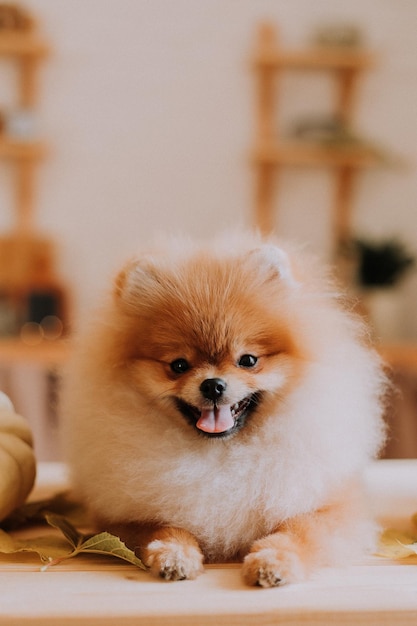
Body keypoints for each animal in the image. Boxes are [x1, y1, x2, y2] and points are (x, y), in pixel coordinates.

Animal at [61, 230, 386, 584]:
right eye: (178, 365)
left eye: (248, 360)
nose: (213, 384)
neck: (221, 456)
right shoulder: (121, 517)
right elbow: (160, 526)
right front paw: (174, 554)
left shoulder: (335, 507)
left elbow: (300, 529)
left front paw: (273, 560)